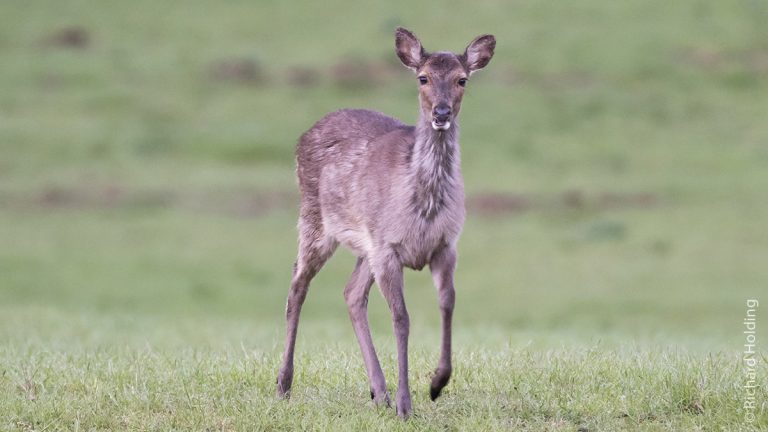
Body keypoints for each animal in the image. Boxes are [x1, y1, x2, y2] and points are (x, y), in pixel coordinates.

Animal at [278, 27, 498, 418]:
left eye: (462, 79)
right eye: (422, 78)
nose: (441, 112)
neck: (423, 205)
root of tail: (303, 135)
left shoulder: (445, 244)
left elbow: (448, 303)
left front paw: (437, 383)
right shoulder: (388, 248)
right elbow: (401, 318)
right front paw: (406, 404)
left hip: (366, 247)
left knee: (351, 293)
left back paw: (378, 392)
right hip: (315, 220)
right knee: (297, 285)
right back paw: (283, 385)